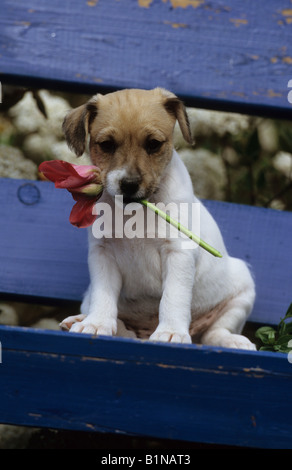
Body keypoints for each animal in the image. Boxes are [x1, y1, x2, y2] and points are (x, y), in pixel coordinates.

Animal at [60, 89, 256, 348]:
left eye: (153, 144)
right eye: (107, 145)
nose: (129, 184)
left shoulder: (178, 253)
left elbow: (173, 297)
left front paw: (171, 331)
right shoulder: (103, 254)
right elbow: (104, 296)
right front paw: (97, 323)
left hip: (242, 290)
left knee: (213, 333)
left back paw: (232, 340)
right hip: (90, 298)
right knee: (124, 329)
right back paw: (84, 320)